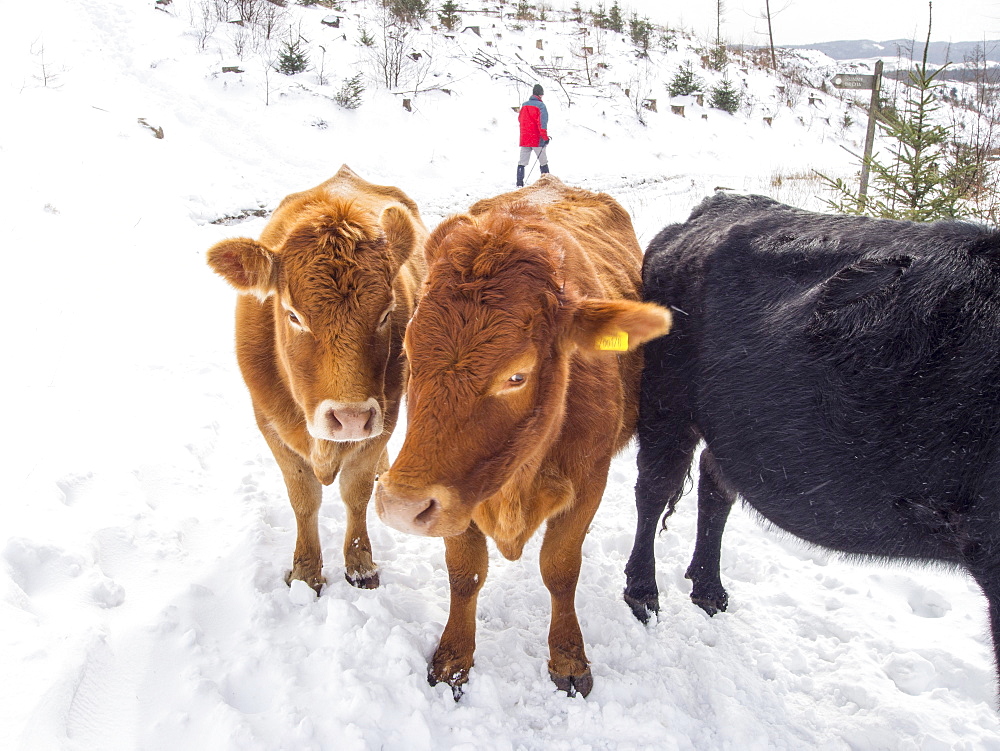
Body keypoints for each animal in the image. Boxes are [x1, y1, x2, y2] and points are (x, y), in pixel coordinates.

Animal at [207, 164, 426, 592]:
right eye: (293, 315)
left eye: (386, 312)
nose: (351, 417)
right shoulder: (270, 423)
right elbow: (303, 498)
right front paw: (306, 572)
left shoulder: (384, 419)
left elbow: (355, 493)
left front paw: (360, 566)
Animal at [376, 176, 672, 700]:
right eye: (408, 349)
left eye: (517, 375)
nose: (400, 507)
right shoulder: (459, 492)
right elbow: (465, 573)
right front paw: (454, 660)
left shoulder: (588, 483)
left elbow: (560, 568)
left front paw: (568, 658)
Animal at [624, 192, 1000, 692]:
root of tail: (714, 205)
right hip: (668, 403)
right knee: (655, 488)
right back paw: (643, 594)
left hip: (732, 422)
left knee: (714, 487)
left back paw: (708, 590)